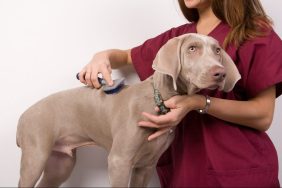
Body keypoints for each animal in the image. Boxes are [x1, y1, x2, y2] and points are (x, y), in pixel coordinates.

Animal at [16, 33, 240, 187]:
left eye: (217, 50)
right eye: (192, 48)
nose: (220, 73)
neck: (159, 99)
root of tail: (23, 115)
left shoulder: (146, 166)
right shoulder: (119, 161)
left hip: (60, 163)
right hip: (35, 156)